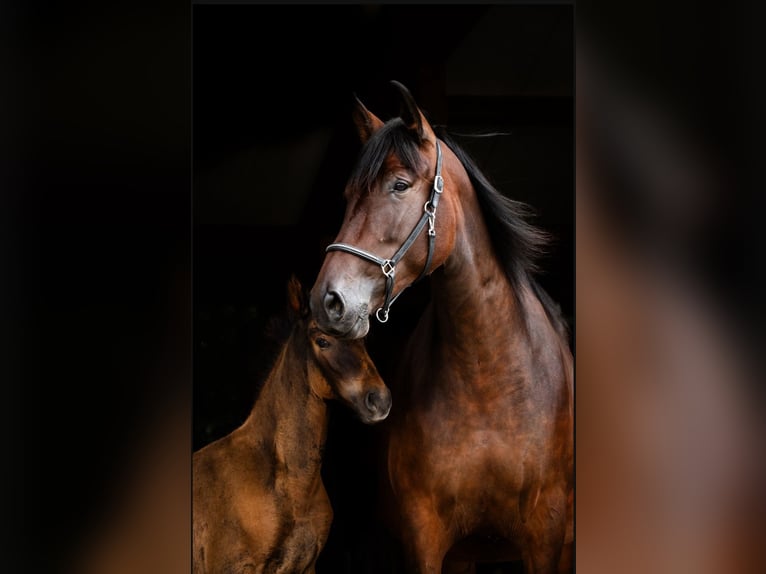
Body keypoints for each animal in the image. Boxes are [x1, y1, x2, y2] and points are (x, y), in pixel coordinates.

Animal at [309, 82, 573, 574]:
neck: (489, 381)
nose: (327, 301)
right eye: (349, 194)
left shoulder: (546, 536)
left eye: (399, 185)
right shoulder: (426, 537)